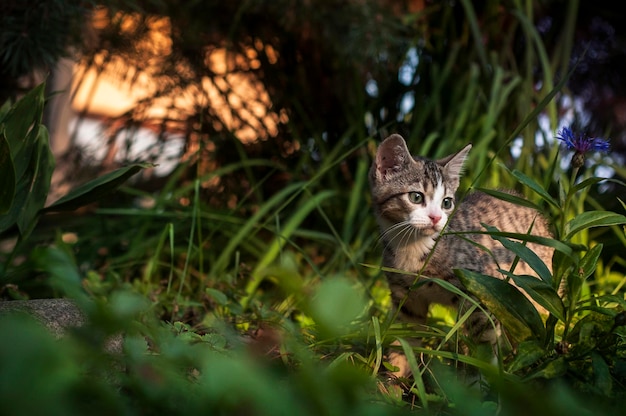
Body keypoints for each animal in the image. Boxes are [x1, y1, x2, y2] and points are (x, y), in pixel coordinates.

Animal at [366, 134, 552, 376]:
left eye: (447, 202)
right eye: (416, 197)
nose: (436, 218)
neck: (413, 248)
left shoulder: (479, 290)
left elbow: (484, 343)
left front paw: (485, 379)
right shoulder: (406, 299)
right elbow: (405, 337)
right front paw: (394, 376)